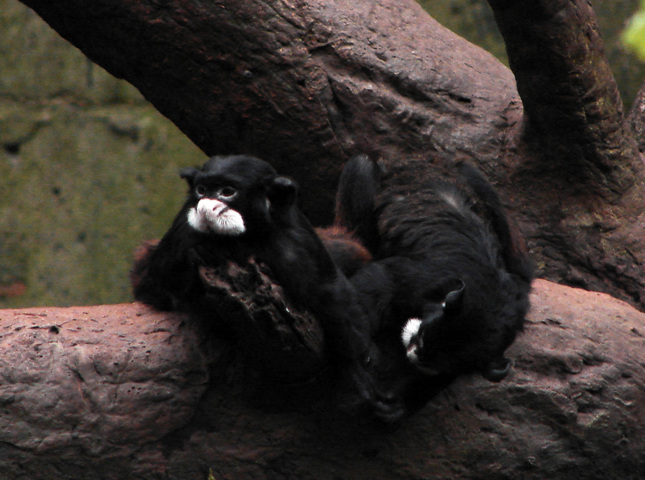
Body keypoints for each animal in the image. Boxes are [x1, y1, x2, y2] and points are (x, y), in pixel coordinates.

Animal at [332, 154, 532, 420]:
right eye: (424, 335)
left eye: (430, 364)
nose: (413, 352)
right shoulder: (425, 277)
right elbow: (376, 285)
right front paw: (352, 365)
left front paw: (402, 403)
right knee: (362, 166)